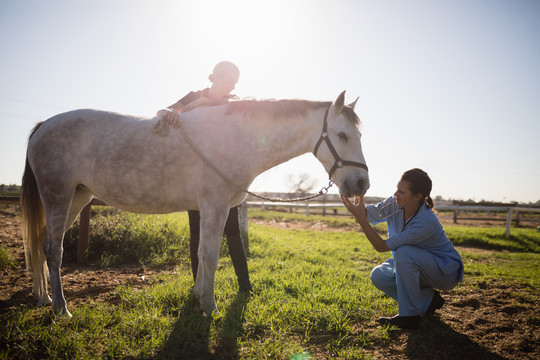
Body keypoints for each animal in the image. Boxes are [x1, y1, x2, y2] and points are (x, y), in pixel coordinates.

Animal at [20, 91, 368, 316]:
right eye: (342, 135)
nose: (362, 183)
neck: (236, 137)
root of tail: (42, 126)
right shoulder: (215, 206)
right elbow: (211, 256)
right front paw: (209, 307)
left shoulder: (211, 210)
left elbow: (202, 253)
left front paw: (199, 295)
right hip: (58, 196)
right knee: (53, 249)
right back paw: (60, 308)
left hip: (77, 197)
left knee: (42, 245)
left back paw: (43, 297)